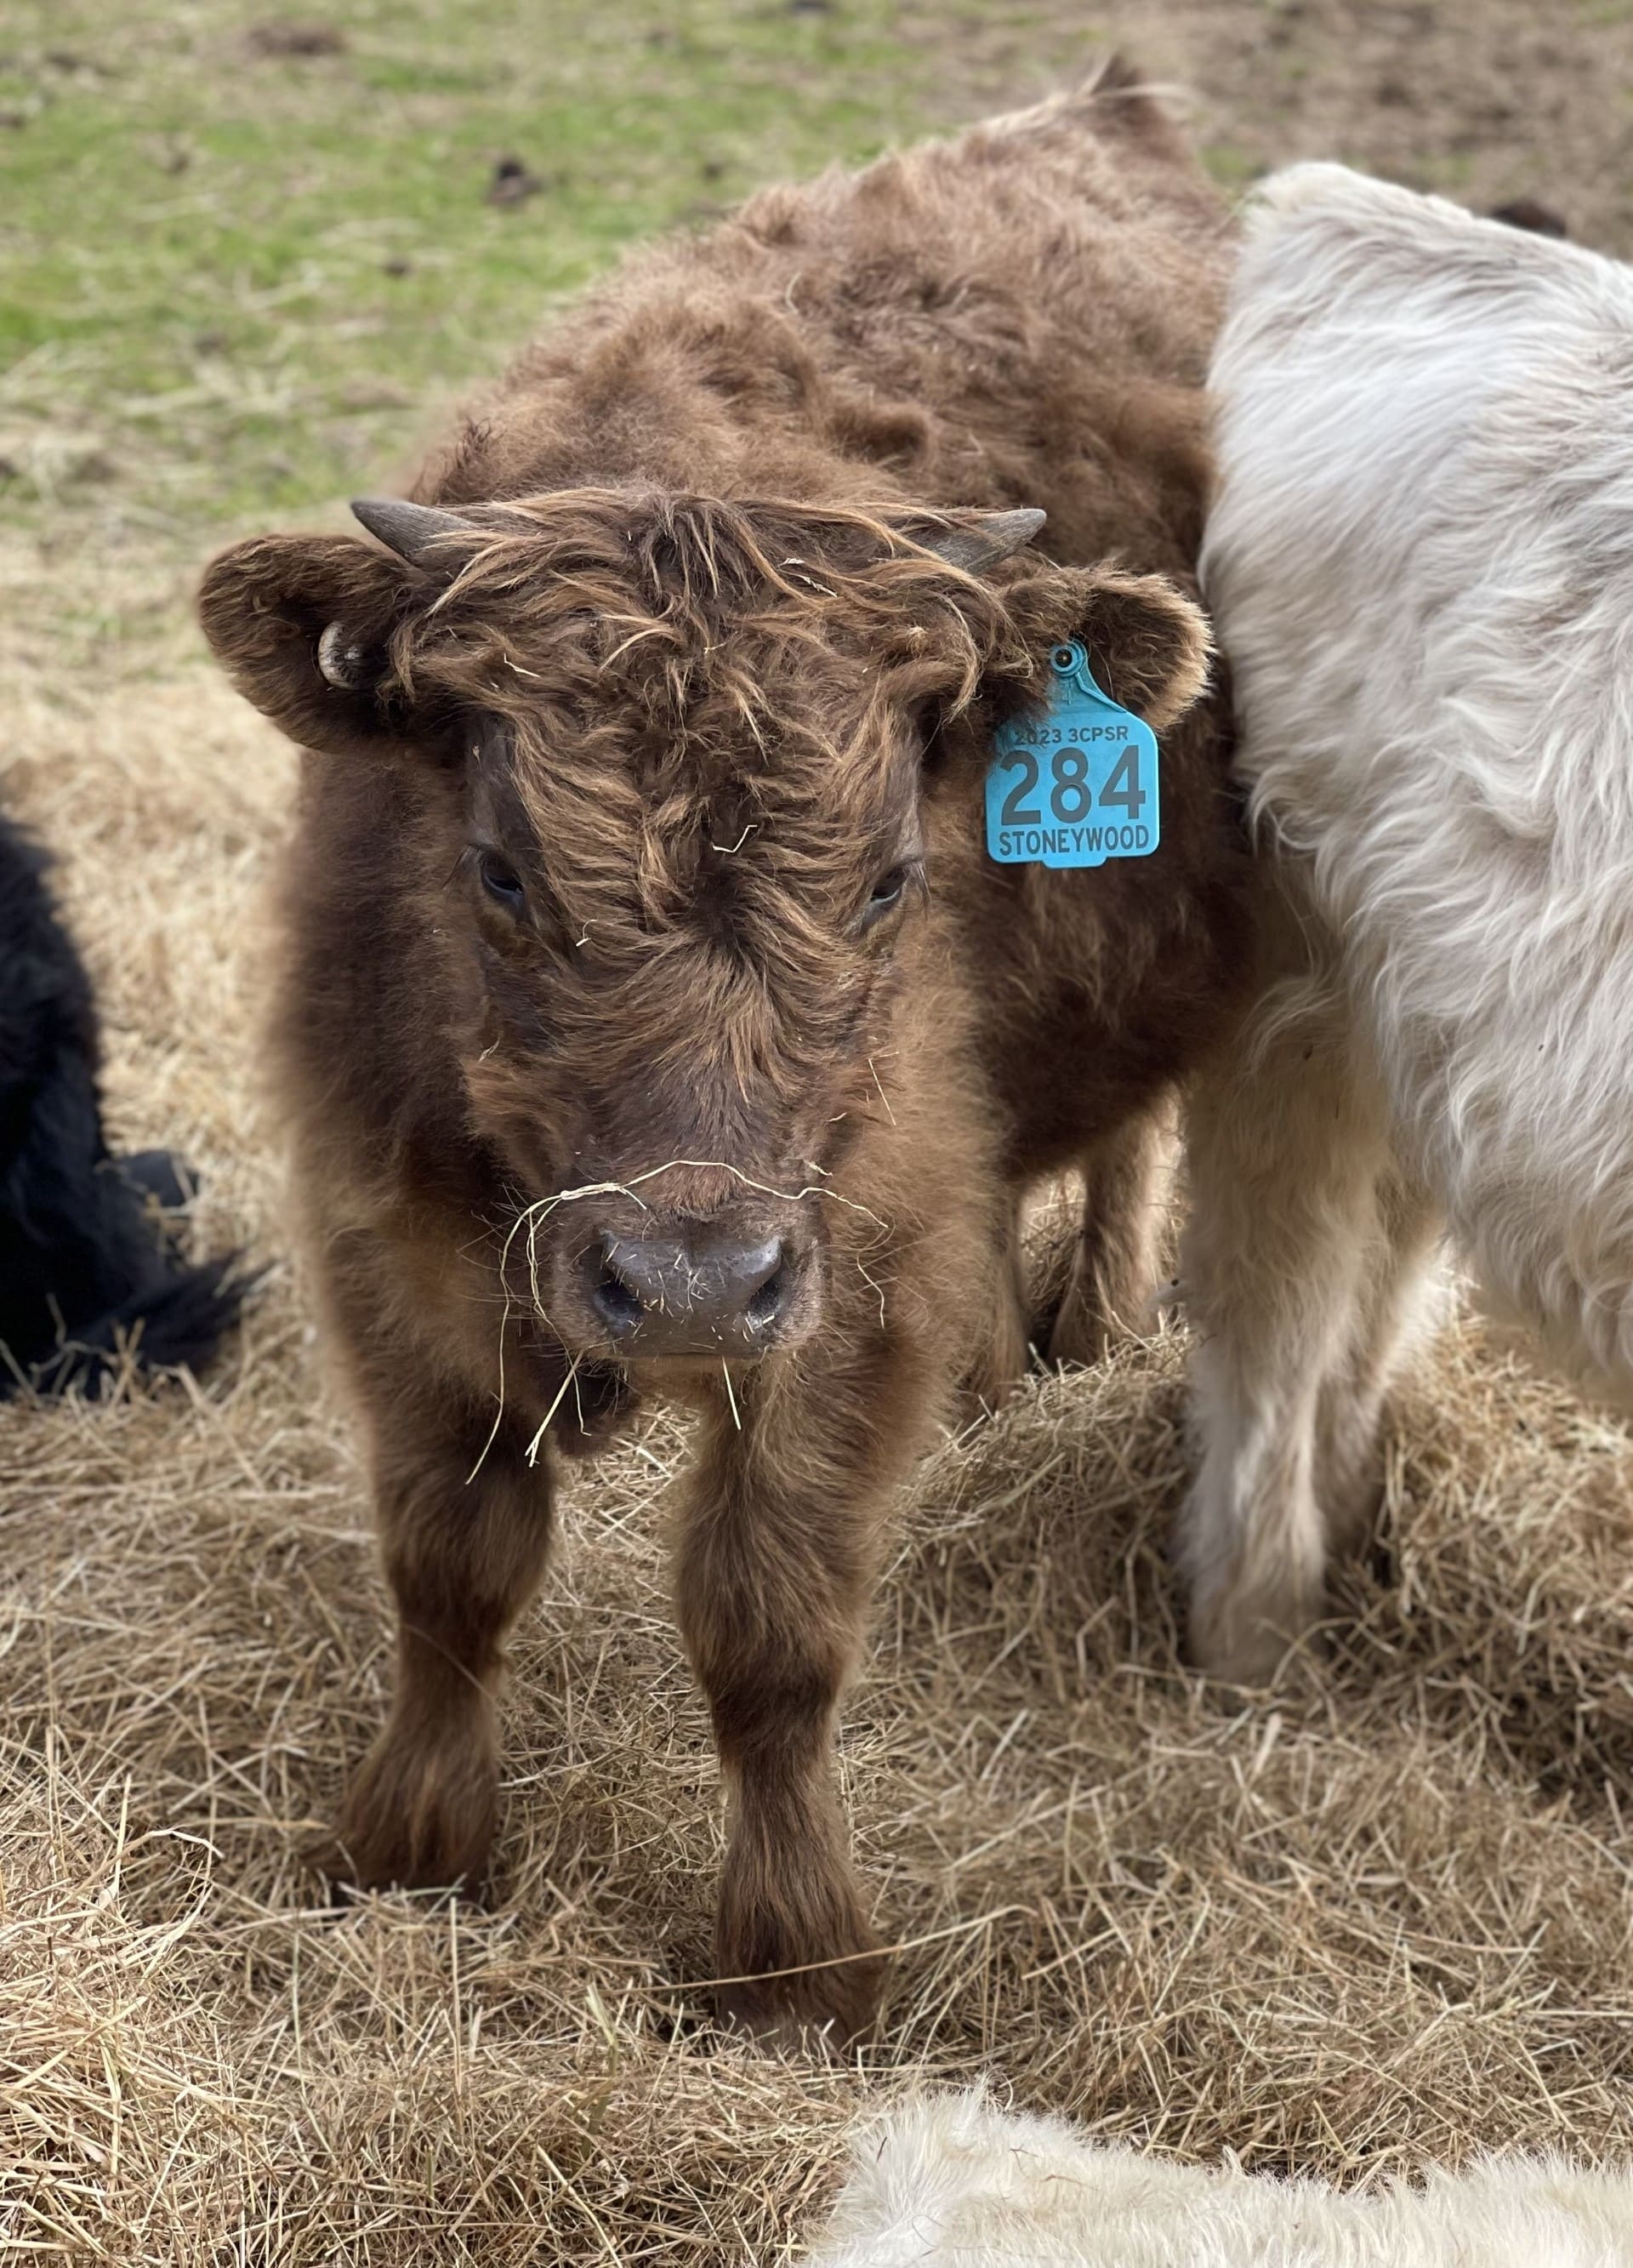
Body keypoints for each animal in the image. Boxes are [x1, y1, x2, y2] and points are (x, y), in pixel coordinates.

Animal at [204, 66, 1252, 2041]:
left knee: (1130, 1142)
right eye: (502, 868)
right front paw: (414, 1847)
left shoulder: (852, 1273)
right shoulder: (384, 1231)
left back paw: (1089, 1323)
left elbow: (771, 1617)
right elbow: (450, 1560)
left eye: (898, 877)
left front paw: (795, 1956)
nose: (686, 1281)